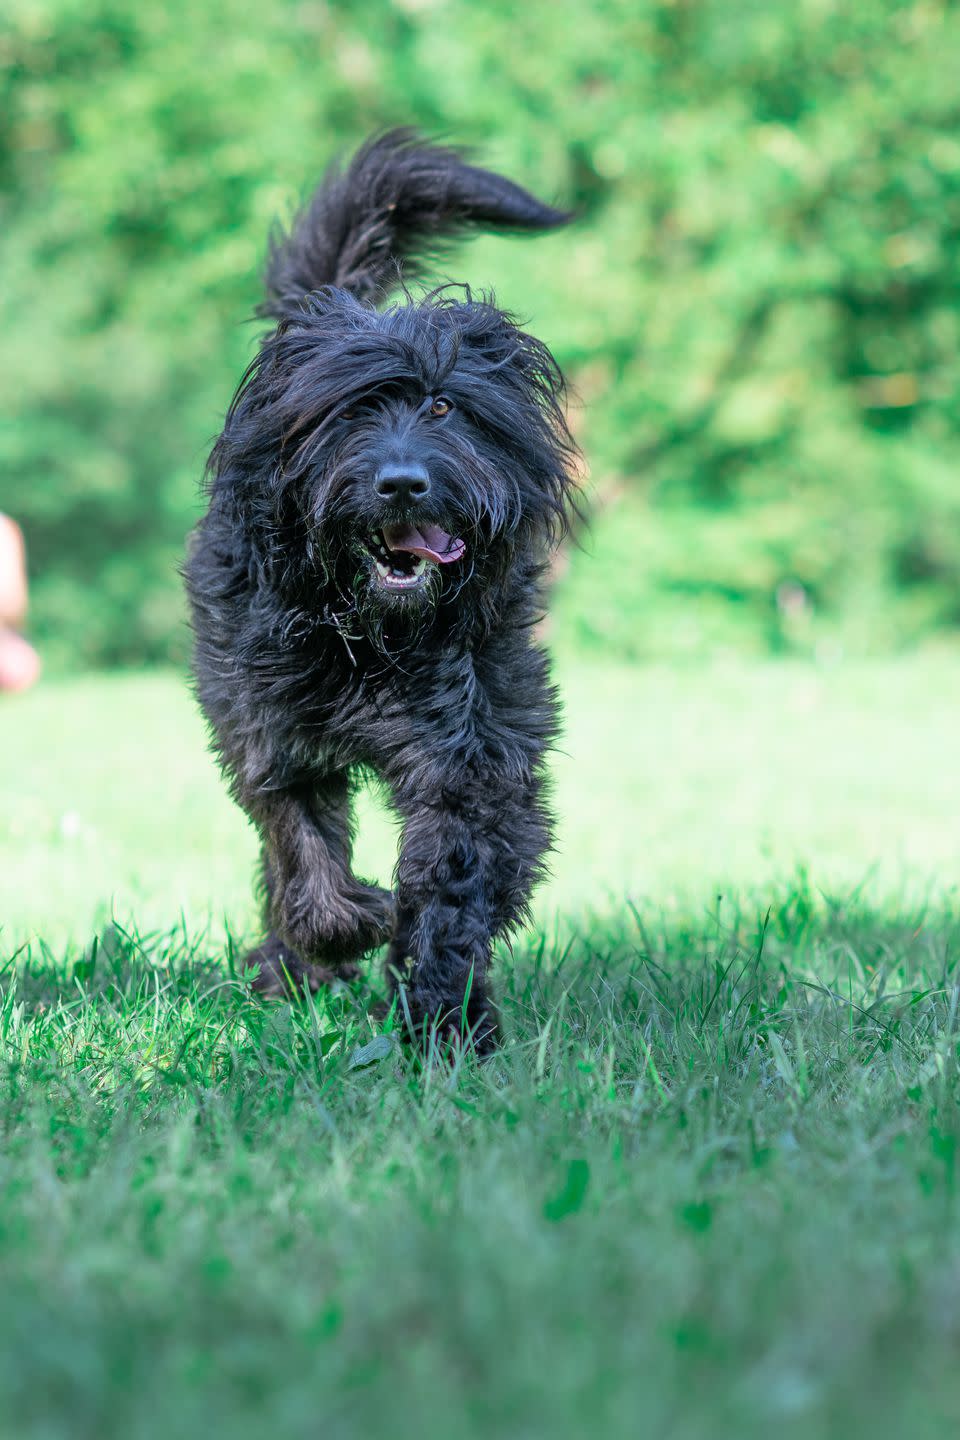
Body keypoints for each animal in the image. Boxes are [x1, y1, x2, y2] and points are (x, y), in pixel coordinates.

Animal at [187, 132, 578, 1048]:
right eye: (349, 412)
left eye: (443, 407)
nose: (402, 484)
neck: (375, 636)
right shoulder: (268, 729)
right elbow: (298, 843)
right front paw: (344, 929)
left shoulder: (477, 750)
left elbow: (457, 877)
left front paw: (442, 1017)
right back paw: (289, 967)